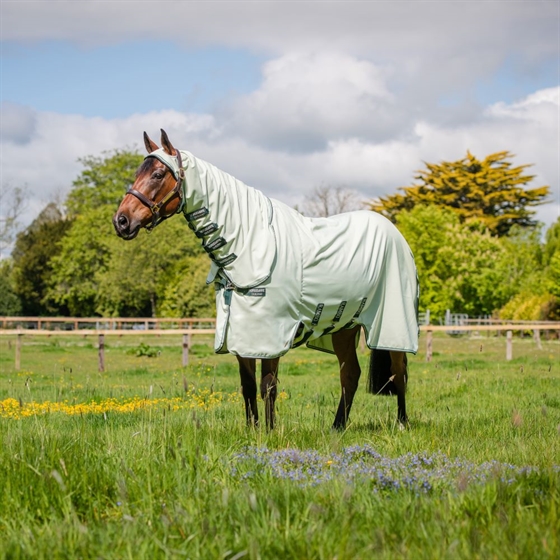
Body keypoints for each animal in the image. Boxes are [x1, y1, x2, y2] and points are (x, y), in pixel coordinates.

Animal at [114, 129, 418, 430]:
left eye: (157, 174)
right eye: (138, 173)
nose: (121, 221)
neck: (250, 245)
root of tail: (395, 233)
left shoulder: (272, 335)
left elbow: (268, 385)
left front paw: (270, 432)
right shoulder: (240, 334)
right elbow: (248, 386)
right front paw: (253, 431)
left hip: (392, 325)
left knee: (399, 371)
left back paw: (402, 422)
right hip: (344, 327)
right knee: (351, 375)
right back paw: (337, 428)